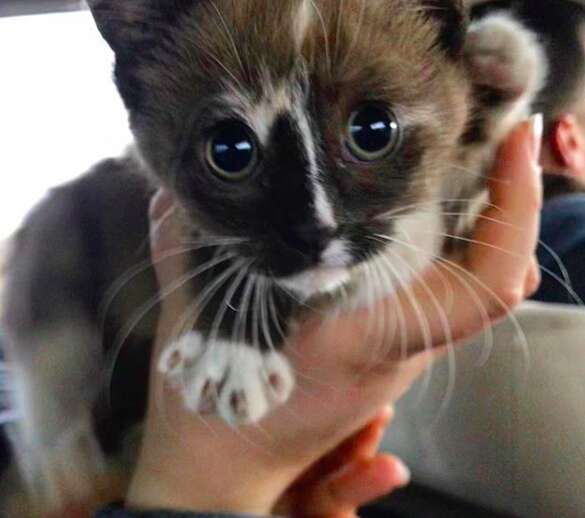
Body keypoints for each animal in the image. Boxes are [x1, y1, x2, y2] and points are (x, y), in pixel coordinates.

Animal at [2, 0, 544, 512]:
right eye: (230, 150)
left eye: (373, 130)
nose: (314, 232)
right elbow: (220, 247)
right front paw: (230, 353)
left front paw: (494, 69)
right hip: (59, 229)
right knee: (48, 333)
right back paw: (64, 459)